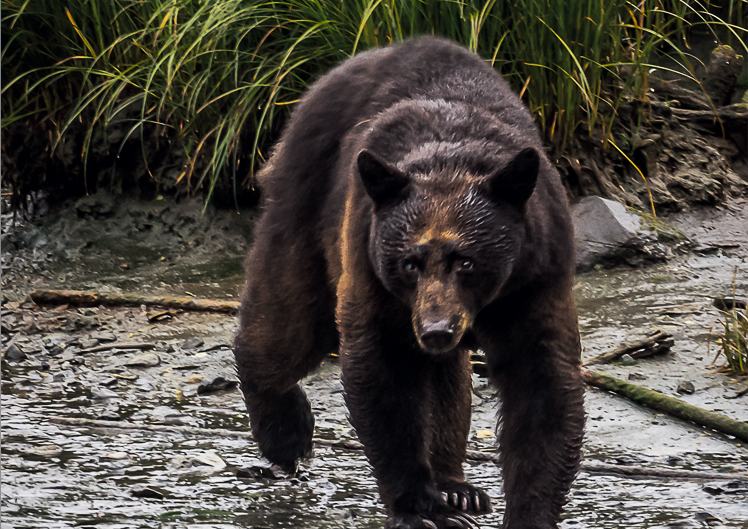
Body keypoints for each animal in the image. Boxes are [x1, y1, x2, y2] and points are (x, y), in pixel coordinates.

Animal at [233, 36, 585, 529]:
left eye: (467, 262)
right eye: (408, 264)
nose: (436, 330)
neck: (451, 162)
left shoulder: (536, 273)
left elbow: (543, 382)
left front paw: (527, 510)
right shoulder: (373, 268)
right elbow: (384, 374)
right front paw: (421, 508)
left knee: (447, 382)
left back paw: (457, 486)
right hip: (308, 197)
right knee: (289, 320)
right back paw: (285, 433)